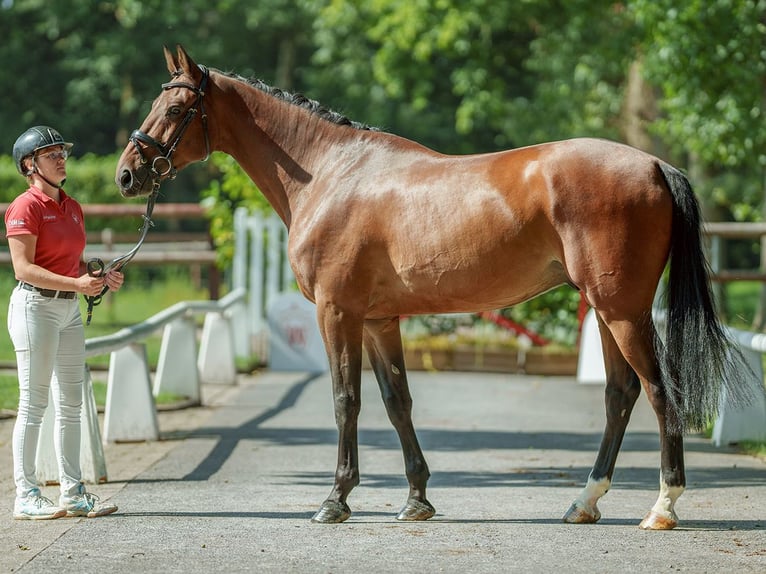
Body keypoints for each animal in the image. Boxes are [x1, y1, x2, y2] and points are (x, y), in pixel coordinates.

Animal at [117, 44, 752, 532]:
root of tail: (654, 165)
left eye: (177, 107)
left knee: (659, 392)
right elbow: (397, 402)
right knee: (619, 394)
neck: (330, 173)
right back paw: (584, 503)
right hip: (603, 309)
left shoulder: (338, 313)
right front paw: (417, 500)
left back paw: (663, 507)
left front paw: (335, 500)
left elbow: (346, 400)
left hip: (622, 312)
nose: (127, 174)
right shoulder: (379, 320)